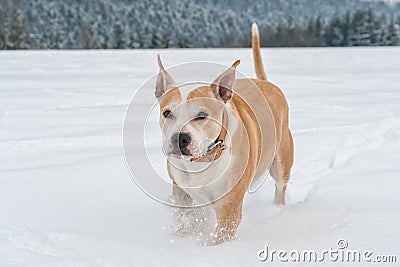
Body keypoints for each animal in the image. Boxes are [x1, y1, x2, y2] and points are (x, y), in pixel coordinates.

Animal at [155, 23, 292, 245]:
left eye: (202, 115)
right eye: (167, 113)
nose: (179, 138)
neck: (203, 159)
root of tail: (265, 83)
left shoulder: (229, 208)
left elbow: (221, 235)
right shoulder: (181, 193)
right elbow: (183, 221)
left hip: (281, 161)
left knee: (281, 186)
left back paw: (278, 209)